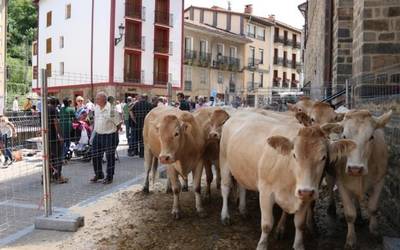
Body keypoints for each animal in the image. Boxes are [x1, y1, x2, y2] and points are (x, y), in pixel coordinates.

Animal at [219, 112, 356, 250]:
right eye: (294, 155)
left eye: (323, 157)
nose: (306, 191)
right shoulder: (265, 193)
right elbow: (267, 225)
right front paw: (262, 245)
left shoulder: (304, 196)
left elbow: (299, 224)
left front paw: (299, 245)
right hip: (224, 161)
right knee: (225, 188)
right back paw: (225, 216)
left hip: (241, 168)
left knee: (242, 186)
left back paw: (243, 210)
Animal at [326, 109, 392, 248]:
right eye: (344, 136)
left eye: (371, 137)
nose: (355, 168)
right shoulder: (342, 183)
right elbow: (350, 214)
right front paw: (351, 239)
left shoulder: (380, 180)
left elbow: (373, 207)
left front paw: (374, 230)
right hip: (330, 173)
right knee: (330, 187)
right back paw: (331, 207)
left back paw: (360, 216)